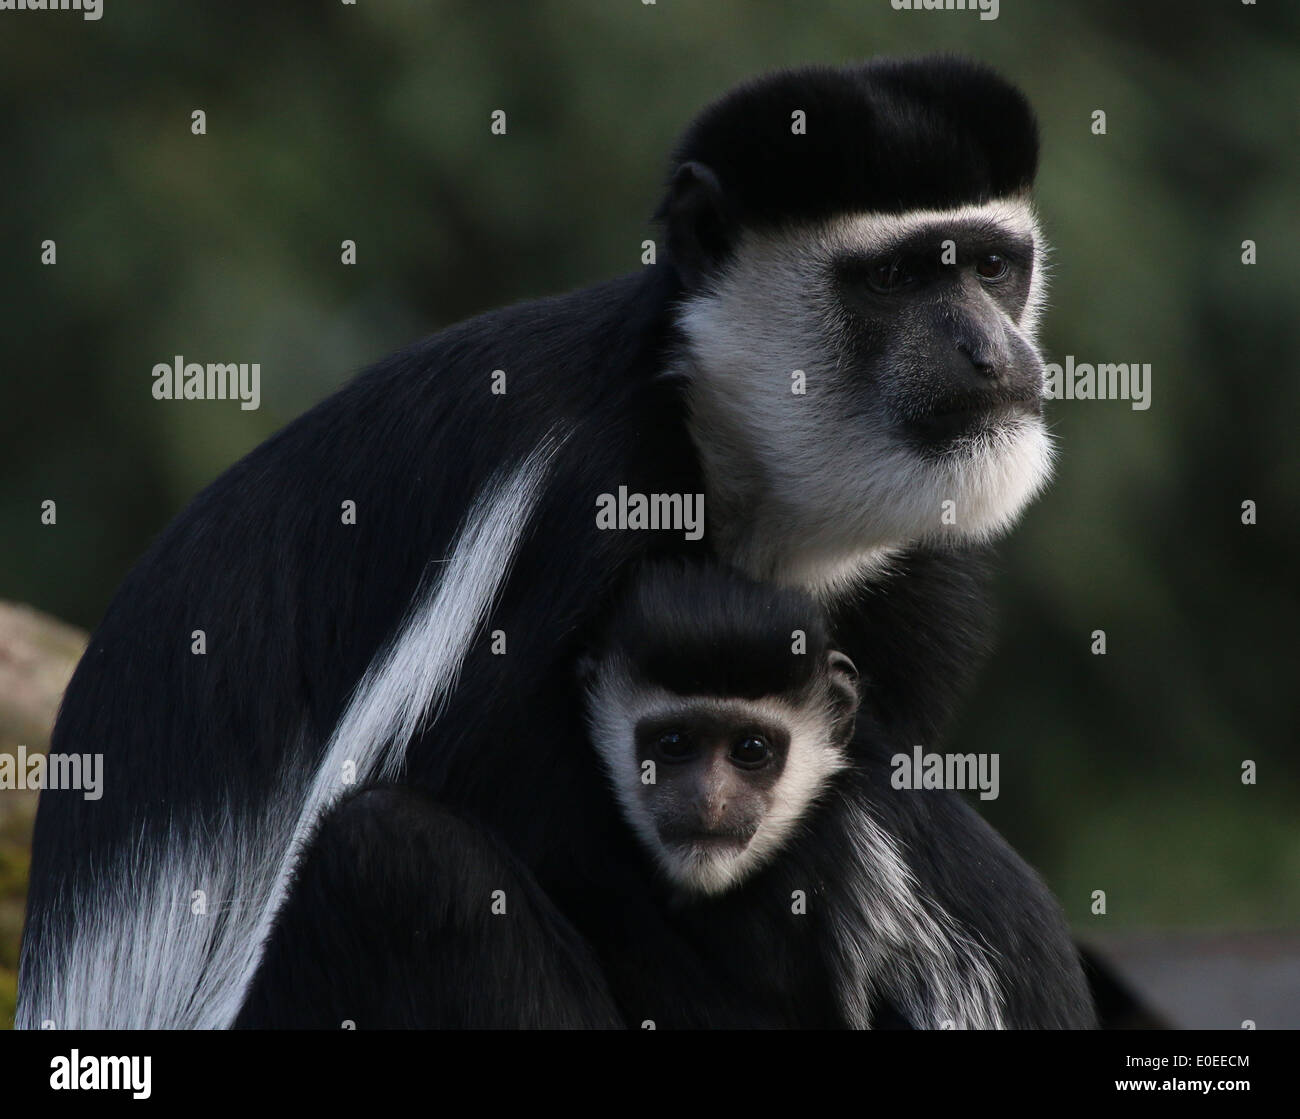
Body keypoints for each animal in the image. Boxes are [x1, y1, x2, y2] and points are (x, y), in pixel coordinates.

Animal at [19, 56, 1081, 1029]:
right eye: (895, 277)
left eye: (990, 266)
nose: (992, 356)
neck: (717, 448)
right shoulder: (566, 507)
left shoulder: (915, 587)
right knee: (399, 861)